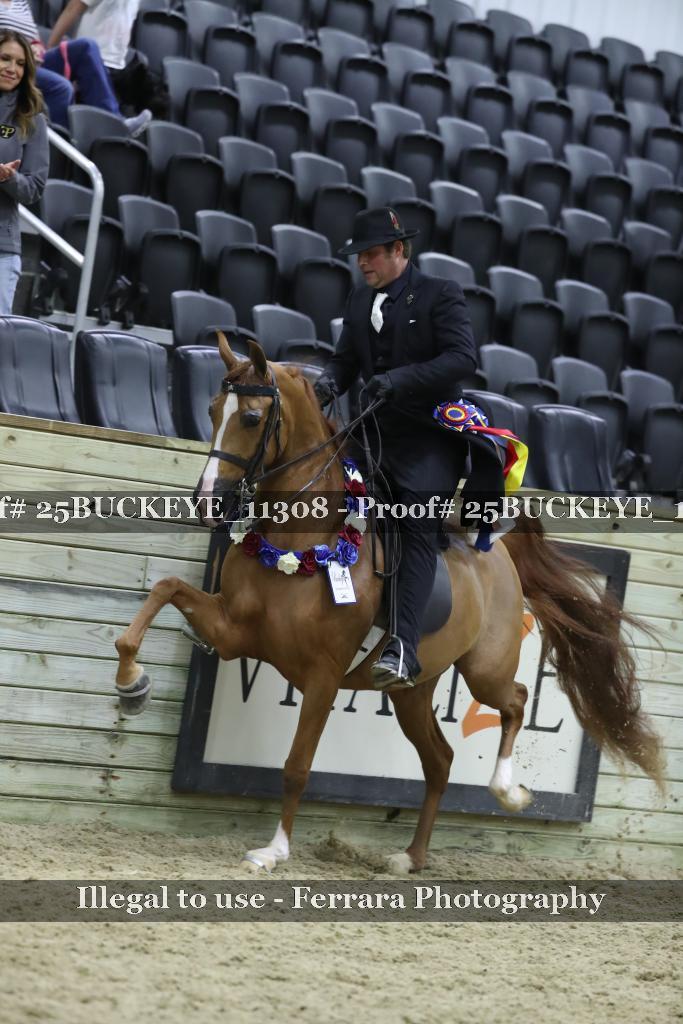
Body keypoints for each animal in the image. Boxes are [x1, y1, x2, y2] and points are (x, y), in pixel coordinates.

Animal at [113, 333, 664, 873]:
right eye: (210, 410)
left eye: (250, 417)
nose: (208, 500)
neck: (301, 539)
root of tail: (497, 551)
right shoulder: (233, 632)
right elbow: (164, 590)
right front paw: (132, 685)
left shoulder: (322, 676)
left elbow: (296, 766)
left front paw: (274, 851)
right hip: (412, 691)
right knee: (440, 759)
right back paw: (411, 857)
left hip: (484, 669)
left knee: (516, 700)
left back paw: (507, 791)